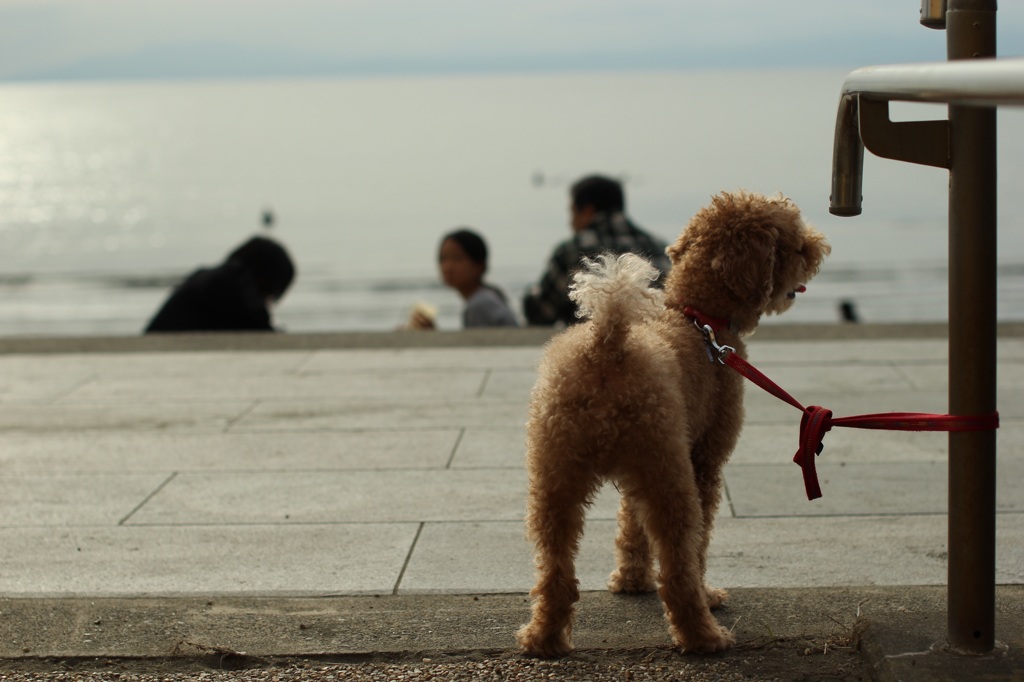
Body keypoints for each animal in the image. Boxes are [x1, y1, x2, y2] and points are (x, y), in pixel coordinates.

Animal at [516, 189, 827, 655]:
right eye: (795, 245)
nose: (821, 247)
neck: (697, 317)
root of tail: (608, 347)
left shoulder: (636, 476)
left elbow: (630, 526)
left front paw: (631, 581)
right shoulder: (703, 460)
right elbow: (699, 542)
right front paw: (705, 592)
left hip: (557, 475)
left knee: (553, 564)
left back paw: (543, 638)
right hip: (667, 473)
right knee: (680, 561)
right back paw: (703, 634)